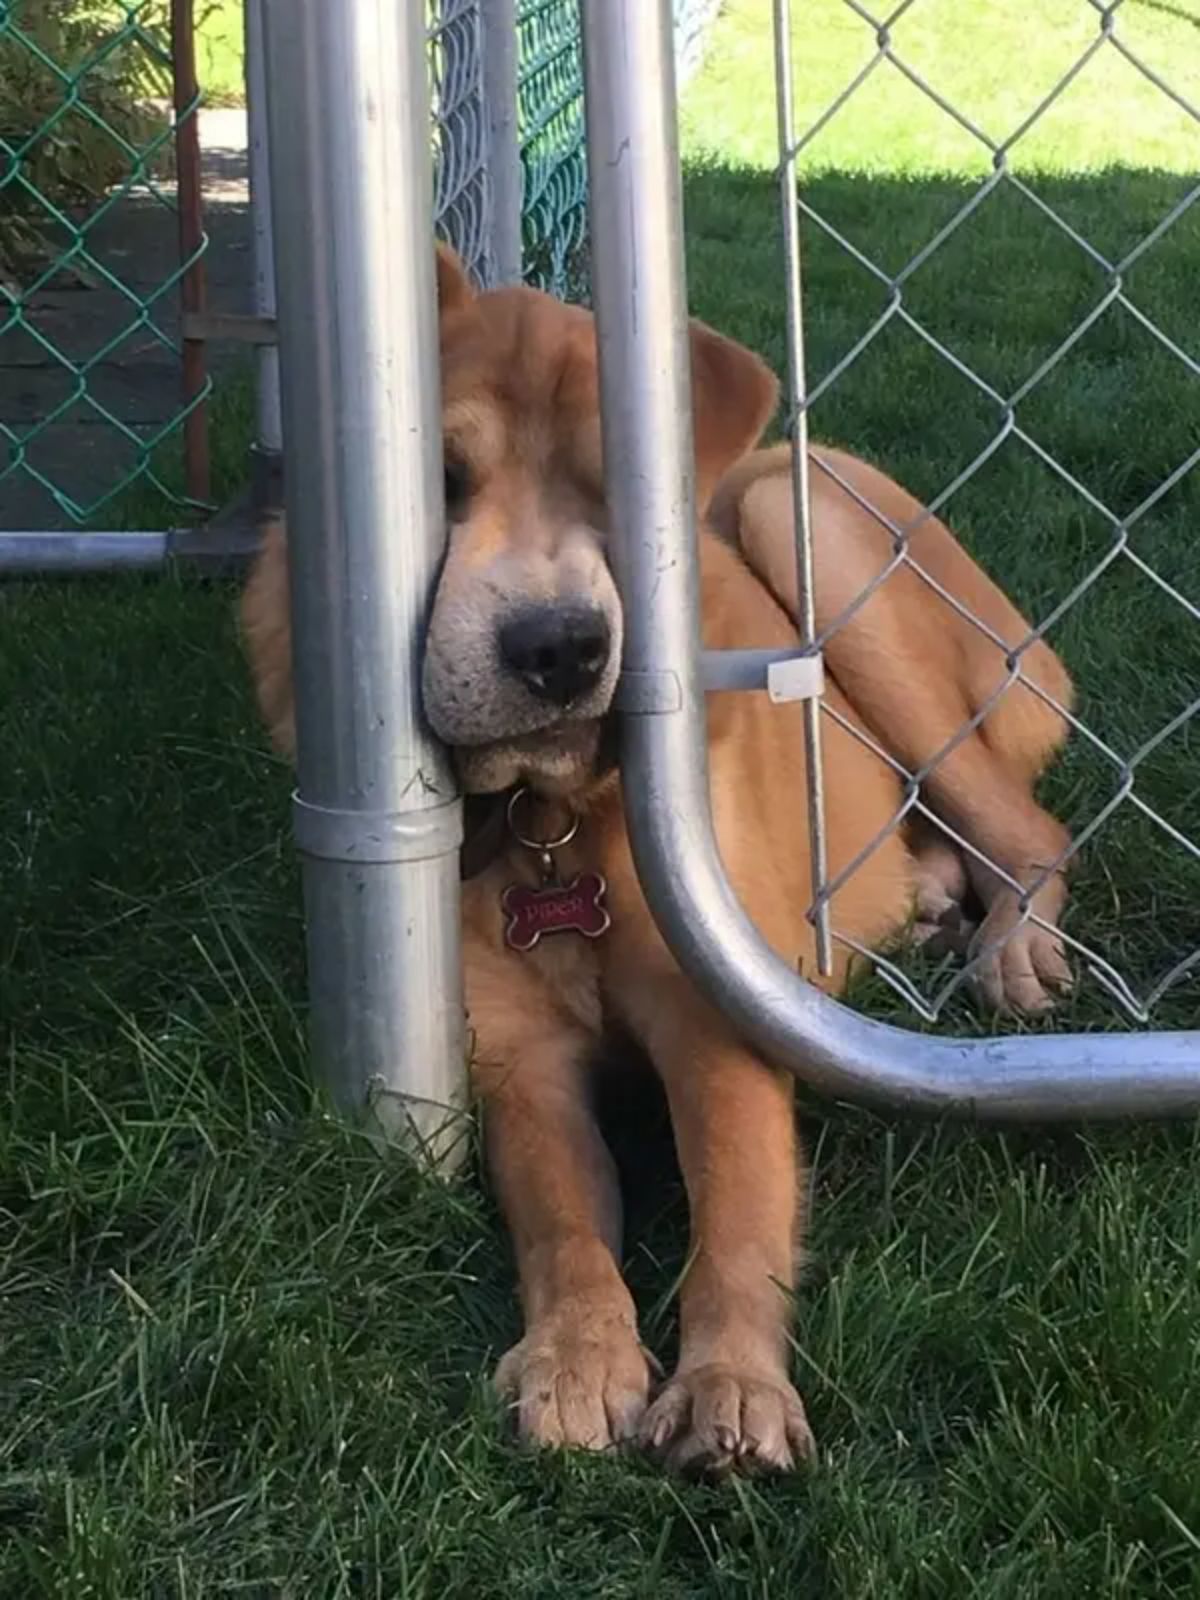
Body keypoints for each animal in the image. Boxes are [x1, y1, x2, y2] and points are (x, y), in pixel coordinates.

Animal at [240, 243, 1075, 1478]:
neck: (557, 825)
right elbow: (561, 1218)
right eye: (439, 477)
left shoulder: (722, 1018)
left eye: (617, 495)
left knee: (1029, 833)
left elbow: (736, 1212)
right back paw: (921, 896)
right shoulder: (518, 1059)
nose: (559, 649)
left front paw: (732, 1385)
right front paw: (579, 1355)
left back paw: (1012, 946)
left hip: (798, 512)